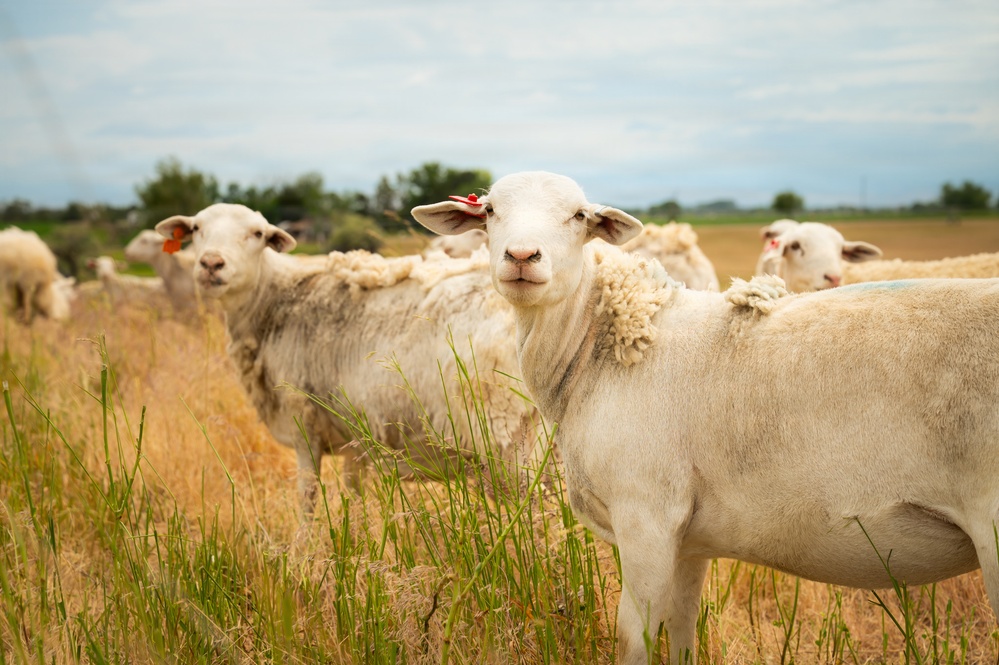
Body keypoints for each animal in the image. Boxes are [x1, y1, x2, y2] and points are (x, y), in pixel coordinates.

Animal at [155, 203, 540, 517]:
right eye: (196, 228)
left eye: (257, 233)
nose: (211, 264)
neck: (275, 301)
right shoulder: (355, 438)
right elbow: (353, 496)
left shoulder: (303, 423)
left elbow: (307, 498)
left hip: (506, 436)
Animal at [412, 171, 999, 665]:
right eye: (489, 210)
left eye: (579, 216)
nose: (522, 255)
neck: (599, 354)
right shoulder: (688, 540)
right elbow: (681, 635)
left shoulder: (646, 516)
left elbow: (633, 639)